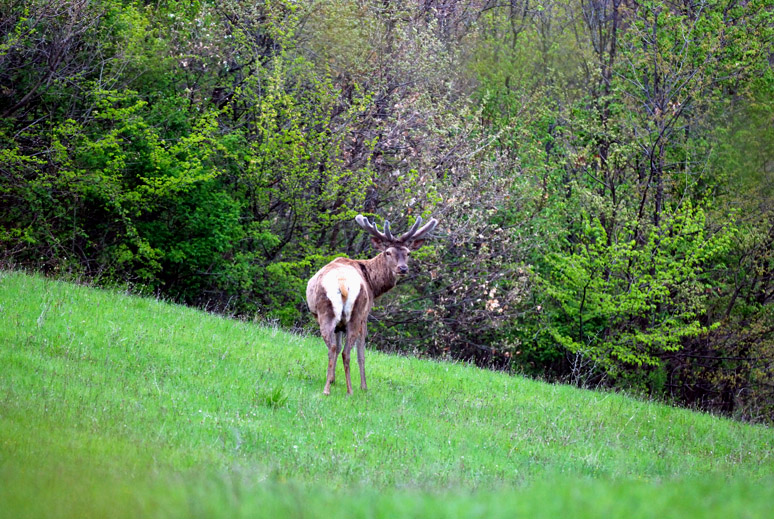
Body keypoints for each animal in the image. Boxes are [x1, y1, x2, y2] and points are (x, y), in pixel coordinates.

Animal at [306, 213, 440, 396]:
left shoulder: (340, 325)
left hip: (330, 314)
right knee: (347, 351)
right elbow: (361, 353)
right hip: (354, 313)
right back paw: (350, 389)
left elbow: (339, 345)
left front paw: (332, 379)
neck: (373, 285)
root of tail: (342, 283)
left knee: (334, 348)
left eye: (408, 253)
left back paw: (330, 389)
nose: (403, 268)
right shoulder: (366, 314)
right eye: (388, 252)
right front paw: (364, 386)